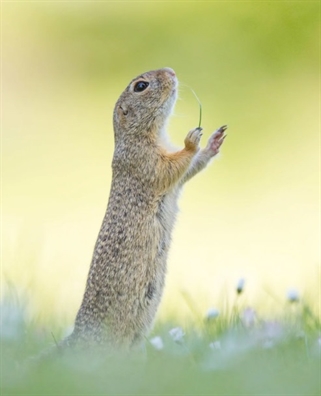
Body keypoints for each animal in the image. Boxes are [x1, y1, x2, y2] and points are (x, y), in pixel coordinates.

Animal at [64, 67, 225, 350]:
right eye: (141, 86)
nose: (171, 71)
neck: (145, 135)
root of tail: (78, 336)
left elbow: (189, 169)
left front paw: (214, 142)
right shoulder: (145, 160)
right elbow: (171, 167)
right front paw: (192, 141)